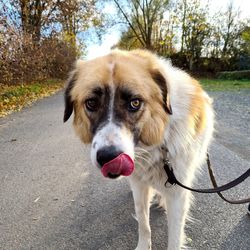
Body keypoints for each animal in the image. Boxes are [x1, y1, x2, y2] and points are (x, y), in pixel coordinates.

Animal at [63, 49, 214, 250]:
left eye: (135, 103)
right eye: (91, 103)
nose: (108, 157)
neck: (156, 146)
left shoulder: (178, 195)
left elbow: (174, 237)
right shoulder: (139, 184)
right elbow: (143, 221)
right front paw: (144, 244)